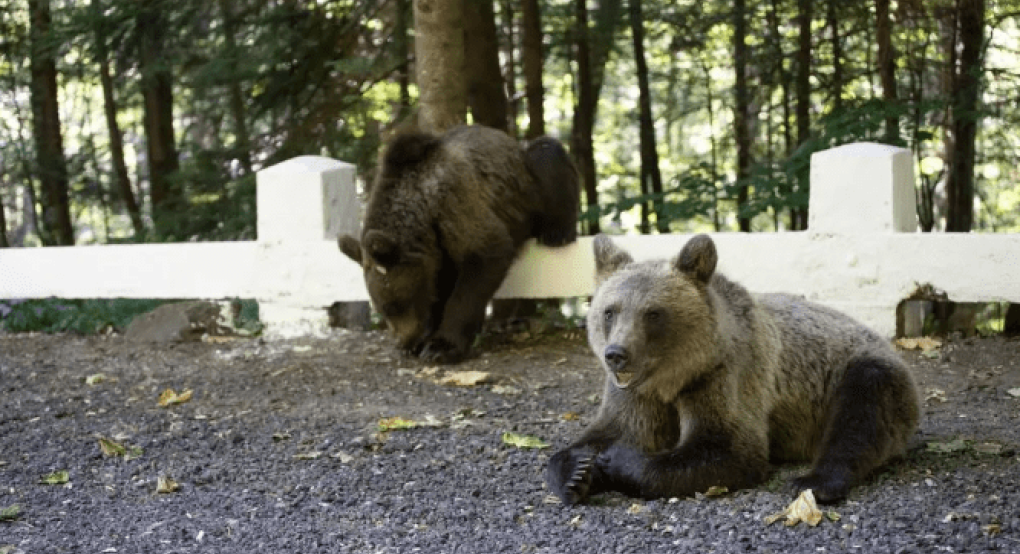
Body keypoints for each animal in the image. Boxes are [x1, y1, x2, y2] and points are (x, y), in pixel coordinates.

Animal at [340, 125, 579, 363]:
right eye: (382, 308)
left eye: (393, 305)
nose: (403, 342)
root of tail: (510, 139)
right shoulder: (437, 252)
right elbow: (440, 288)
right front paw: (425, 339)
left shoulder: (456, 203)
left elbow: (482, 260)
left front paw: (442, 346)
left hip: (527, 183)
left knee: (546, 153)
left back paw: (557, 233)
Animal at [550, 235, 926, 508]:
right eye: (609, 311)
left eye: (653, 313)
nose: (617, 355)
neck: (674, 379)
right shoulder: (635, 394)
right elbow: (606, 431)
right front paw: (577, 471)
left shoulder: (725, 377)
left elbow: (728, 450)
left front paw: (617, 461)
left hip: (857, 371)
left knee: (861, 418)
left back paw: (815, 482)